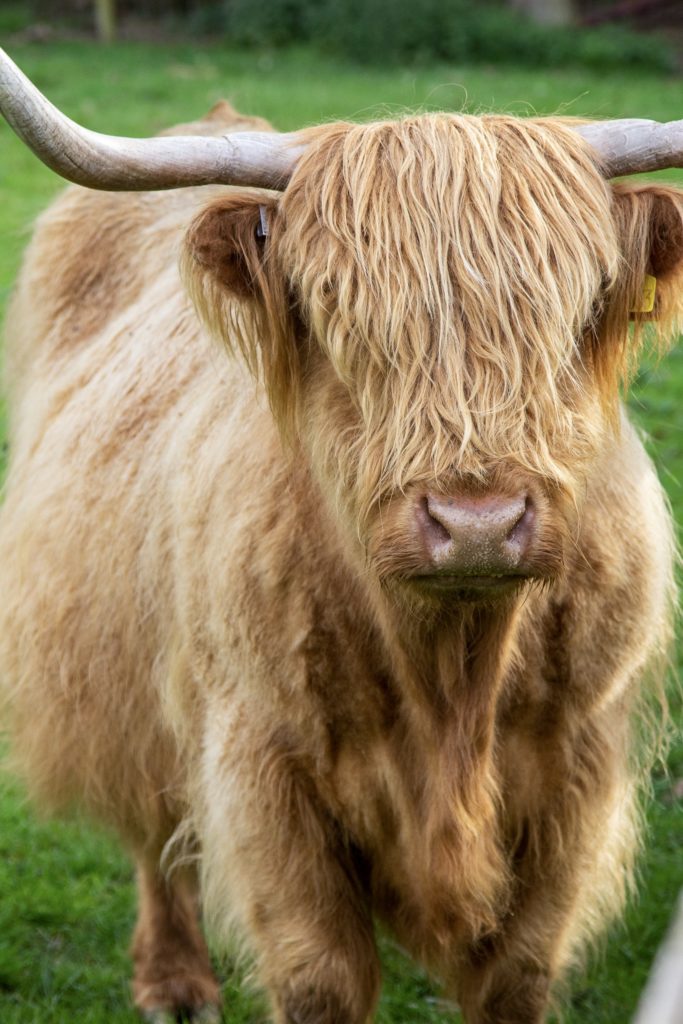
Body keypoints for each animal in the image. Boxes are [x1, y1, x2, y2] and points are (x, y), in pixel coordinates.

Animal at [1, 49, 683, 1024]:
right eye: (335, 315)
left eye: (578, 307)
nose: (476, 524)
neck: (452, 681)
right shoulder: (263, 770)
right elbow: (319, 977)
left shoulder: (578, 772)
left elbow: (515, 975)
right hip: (116, 669)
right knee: (152, 824)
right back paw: (174, 982)